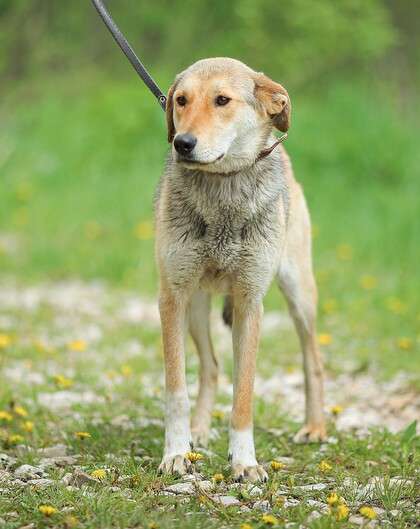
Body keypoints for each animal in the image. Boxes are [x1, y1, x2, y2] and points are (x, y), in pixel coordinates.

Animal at [156, 57, 326, 482]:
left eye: (222, 100)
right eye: (181, 100)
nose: (182, 143)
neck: (223, 188)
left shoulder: (251, 303)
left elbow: (244, 395)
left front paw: (245, 462)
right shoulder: (172, 297)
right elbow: (177, 389)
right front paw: (176, 453)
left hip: (299, 294)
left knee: (312, 360)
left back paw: (315, 427)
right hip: (195, 307)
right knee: (211, 366)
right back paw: (198, 432)